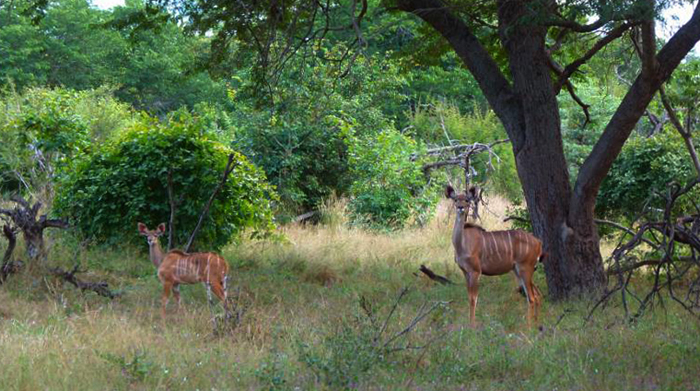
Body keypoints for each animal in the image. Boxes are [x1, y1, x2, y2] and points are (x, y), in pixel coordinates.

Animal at [446, 187, 544, 328]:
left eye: (466, 200)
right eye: (455, 200)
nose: (460, 207)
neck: (462, 243)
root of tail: (538, 242)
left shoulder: (475, 272)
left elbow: (473, 299)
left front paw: (472, 326)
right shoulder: (465, 272)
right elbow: (469, 297)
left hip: (525, 269)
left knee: (531, 297)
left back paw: (528, 327)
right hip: (519, 271)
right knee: (537, 294)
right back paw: (537, 324)